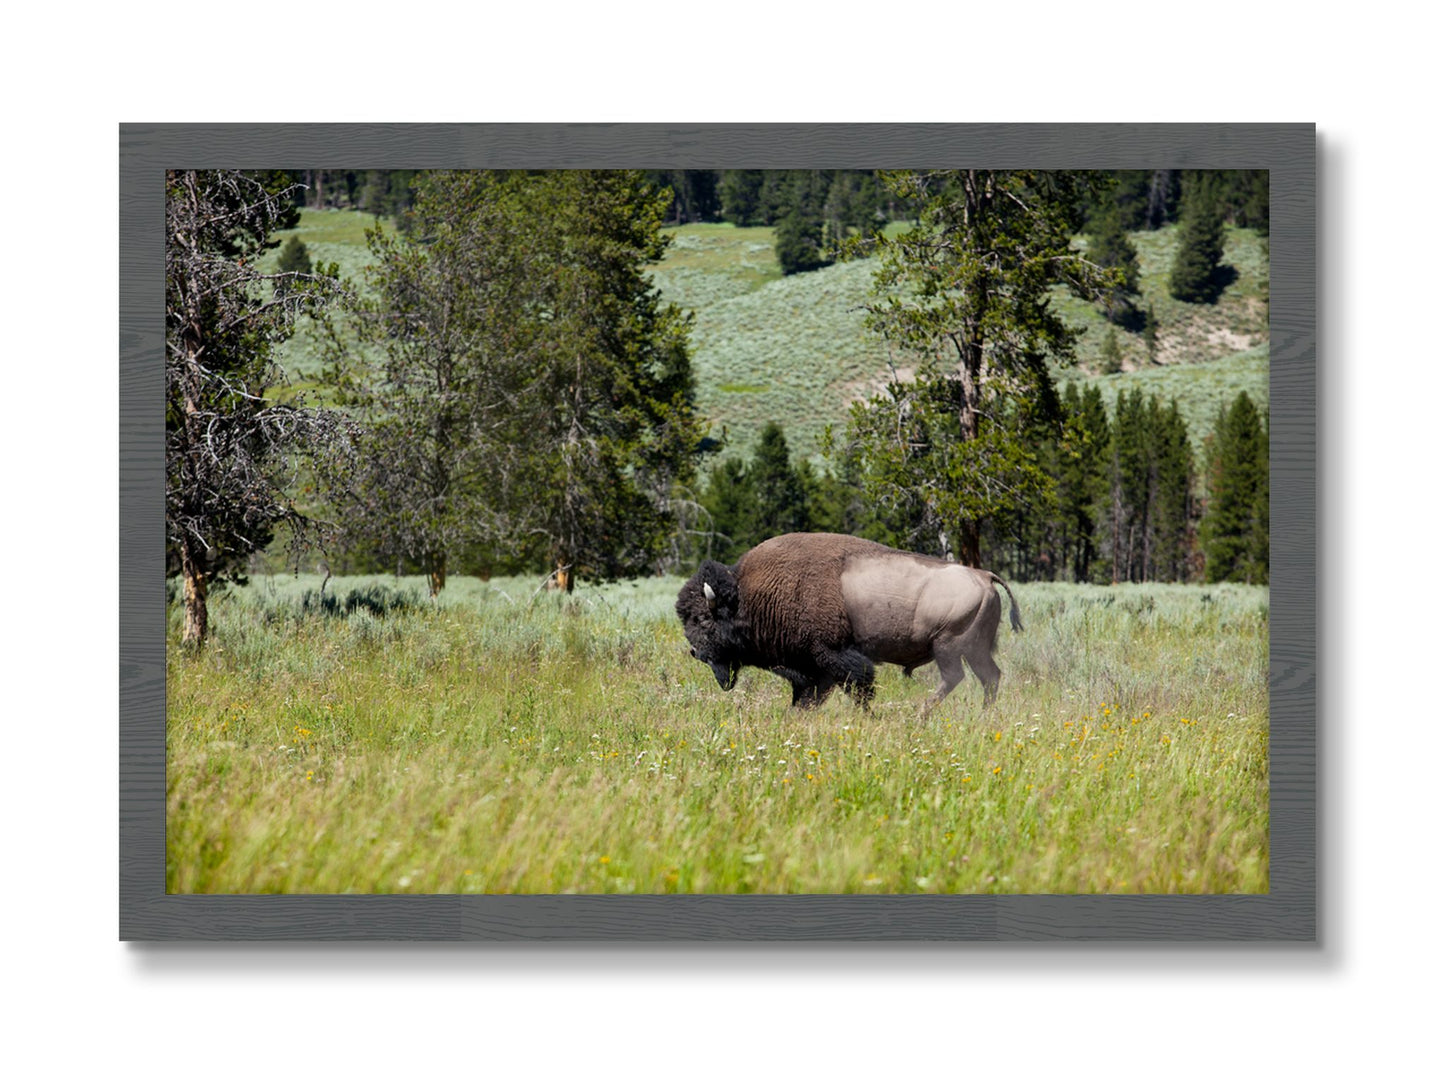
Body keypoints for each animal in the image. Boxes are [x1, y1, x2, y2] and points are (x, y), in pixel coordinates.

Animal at [675, 532, 1023, 711]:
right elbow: (808, 698)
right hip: (974, 649)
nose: (695, 652)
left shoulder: (833, 657)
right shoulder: (813, 670)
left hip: (948, 646)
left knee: (955, 678)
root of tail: (984, 575)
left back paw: (920, 715)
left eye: (703, 619)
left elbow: (859, 688)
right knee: (990, 677)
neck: (749, 595)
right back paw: (982, 715)